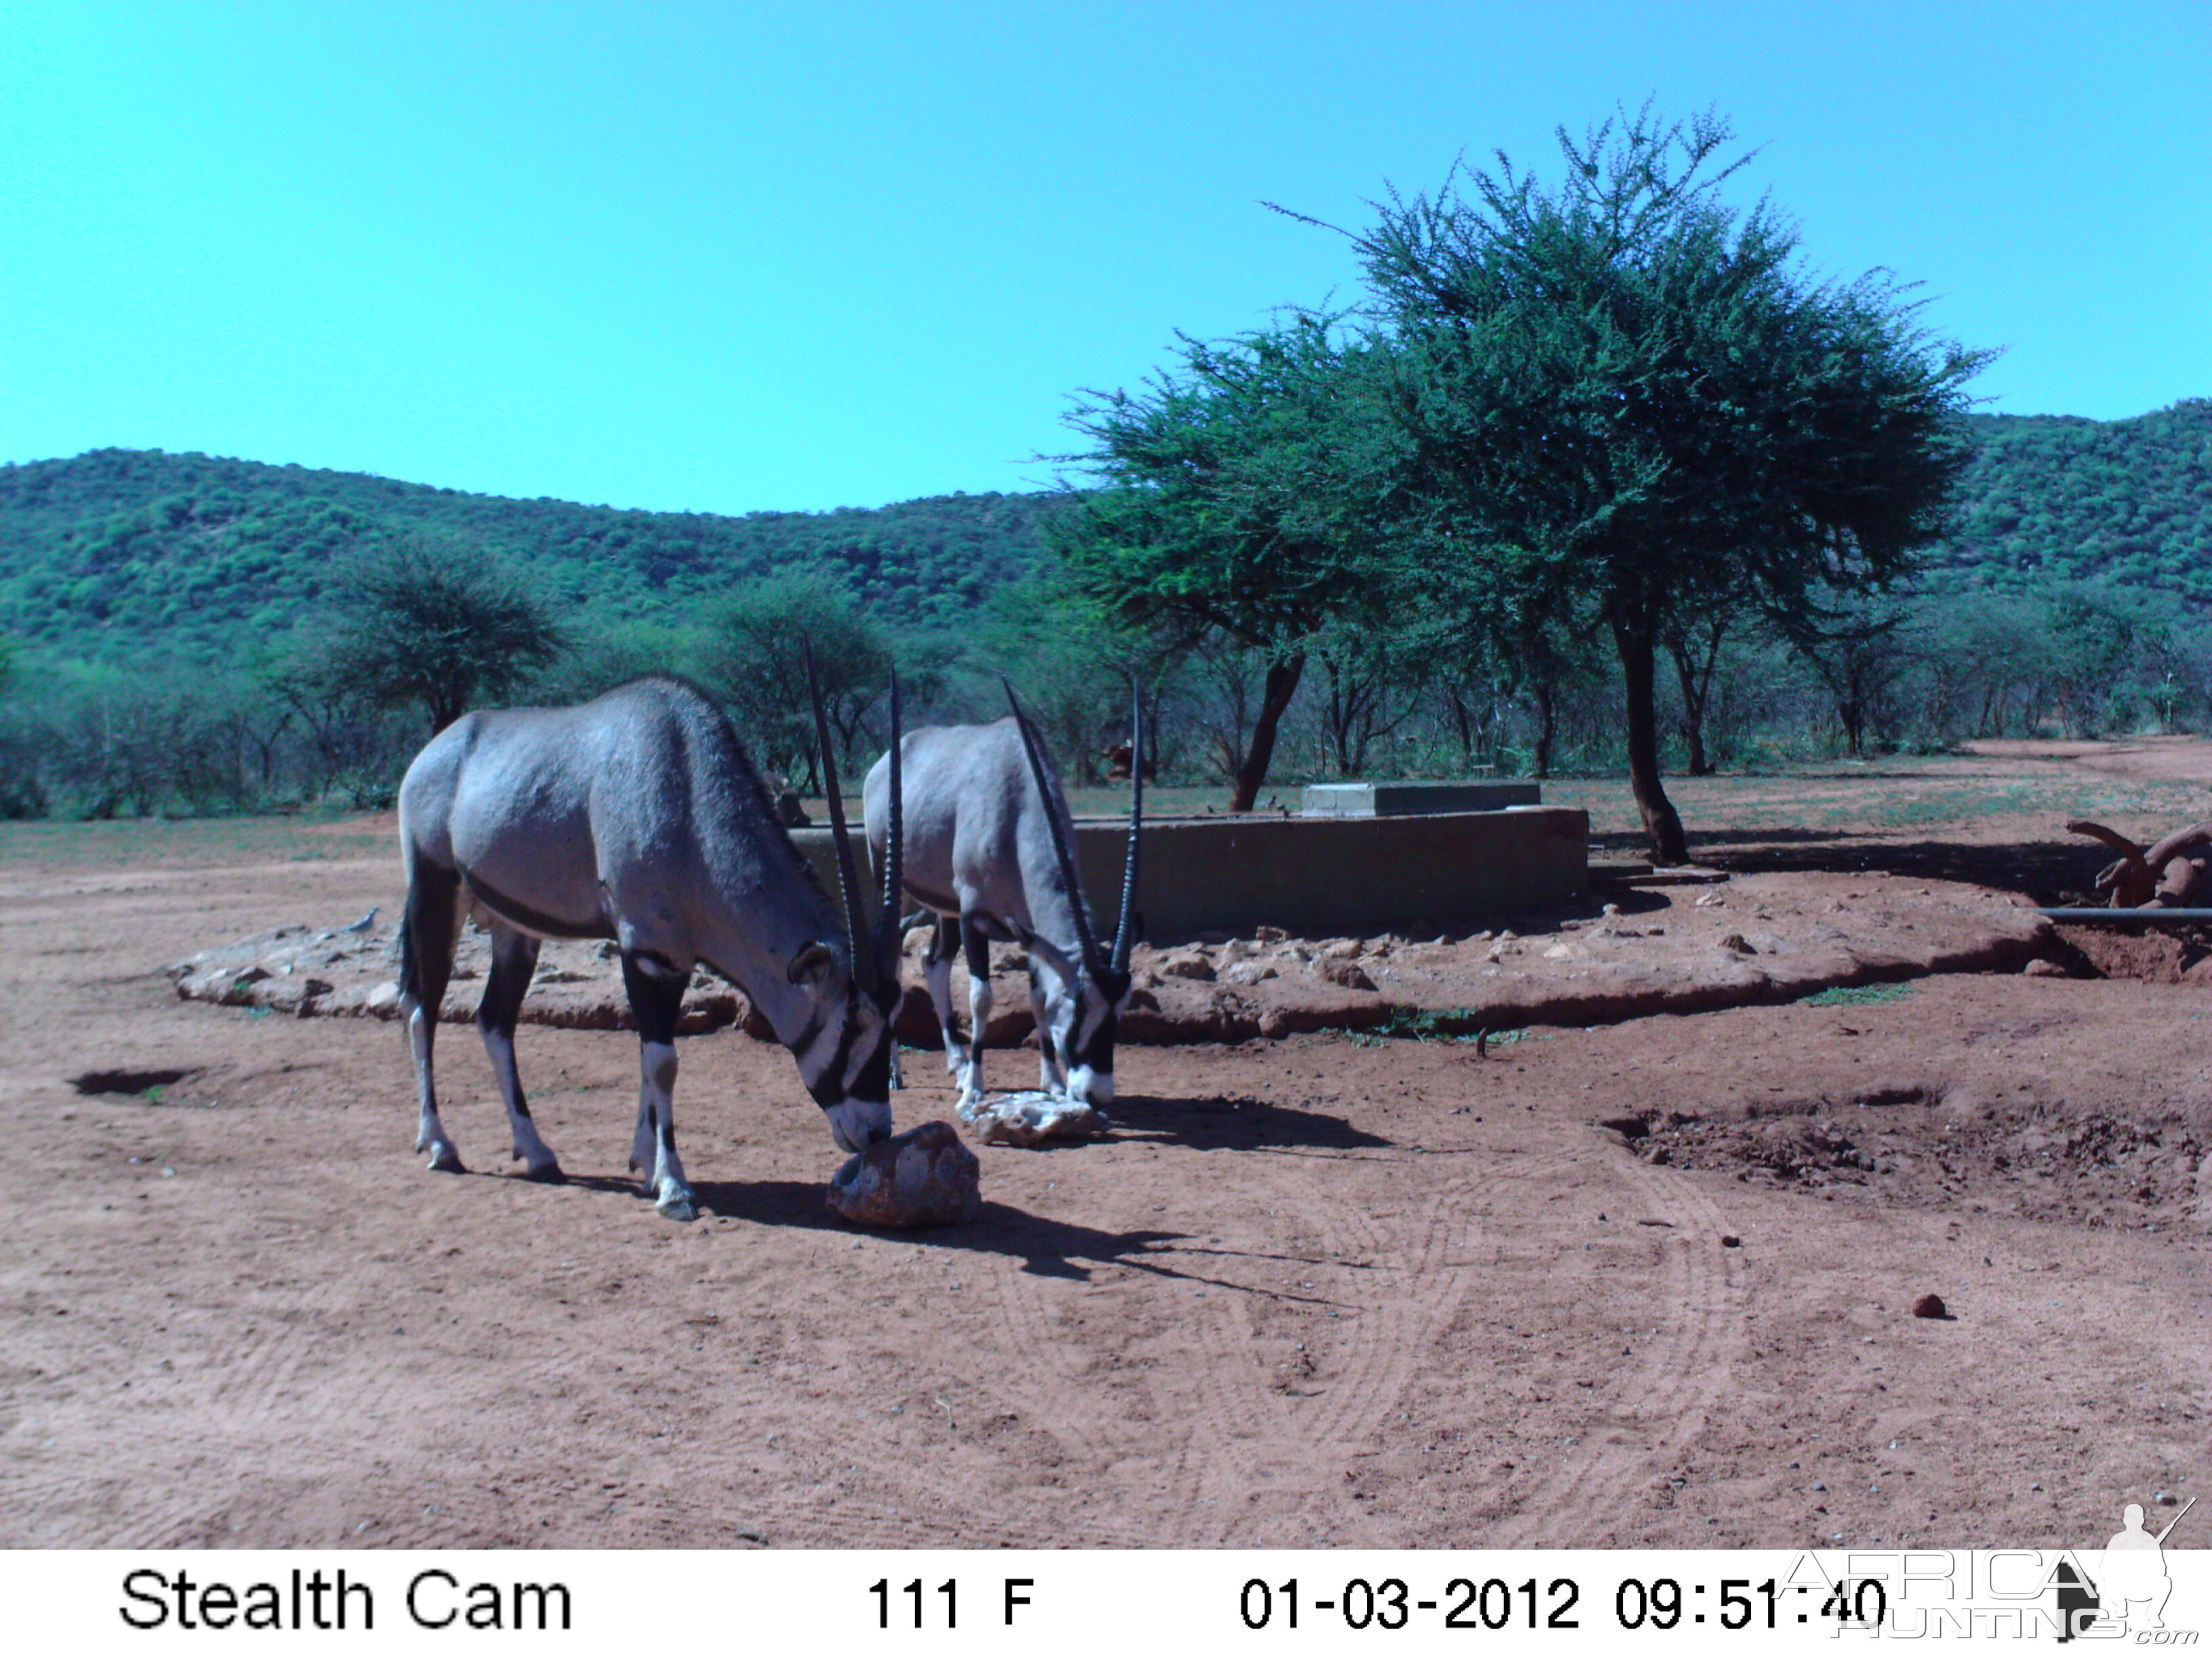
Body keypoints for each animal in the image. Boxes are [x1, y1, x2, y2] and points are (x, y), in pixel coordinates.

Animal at [393, 668, 902, 1229]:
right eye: (851, 1025)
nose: (877, 1133)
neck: (688, 790)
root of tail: (435, 751)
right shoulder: (647, 953)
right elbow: (662, 1062)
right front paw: (673, 1186)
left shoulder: (668, 959)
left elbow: (646, 1052)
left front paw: (645, 1165)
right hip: (436, 896)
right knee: (422, 1011)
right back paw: (440, 1146)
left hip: (513, 929)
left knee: (494, 1020)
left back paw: (538, 1153)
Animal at [862, 681, 1141, 1124]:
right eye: (1079, 1007)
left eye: (1120, 1011)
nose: (1097, 1095)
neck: (1016, 799)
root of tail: (886, 761)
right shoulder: (974, 915)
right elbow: (982, 999)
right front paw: (972, 1094)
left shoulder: (1025, 927)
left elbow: (1038, 999)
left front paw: (1053, 1083)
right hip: (894, 886)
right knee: (897, 962)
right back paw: (897, 1072)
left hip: (946, 906)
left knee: (934, 962)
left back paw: (957, 1064)